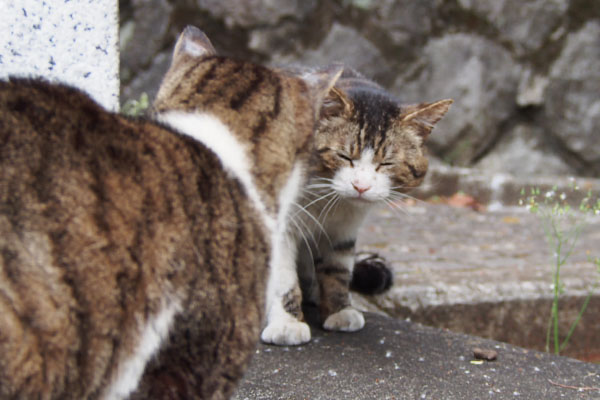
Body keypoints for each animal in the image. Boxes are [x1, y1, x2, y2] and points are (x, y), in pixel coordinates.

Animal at [260, 66, 452, 346]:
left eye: (387, 163)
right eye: (344, 156)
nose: (361, 186)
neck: (326, 201)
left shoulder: (345, 229)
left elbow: (338, 270)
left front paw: (339, 310)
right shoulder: (280, 225)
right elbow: (284, 278)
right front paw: (287, 323)